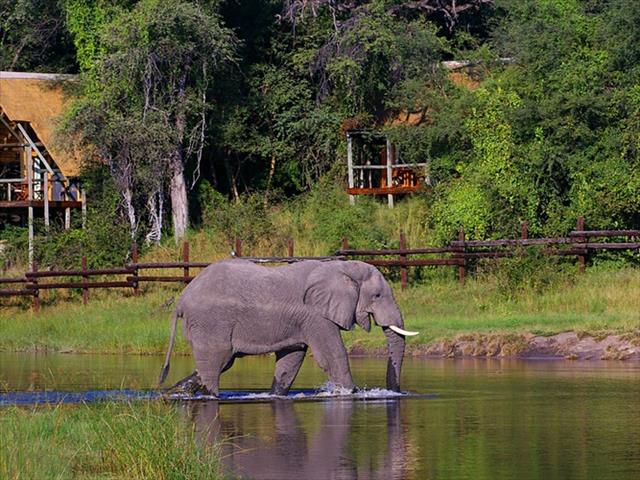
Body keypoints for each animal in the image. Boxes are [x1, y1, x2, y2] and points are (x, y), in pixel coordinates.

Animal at [159, 259, 418, 396]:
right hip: (211, 322)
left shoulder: (299, 322)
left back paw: (175, 393)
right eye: (377, 295)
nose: (398, 394)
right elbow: (332, 355)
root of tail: (182, 299)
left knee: (221, 363)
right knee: (216, 363)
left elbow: (291, 359)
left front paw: (275, 395)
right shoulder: (315, 315)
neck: (340, 267)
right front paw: (350, 393)